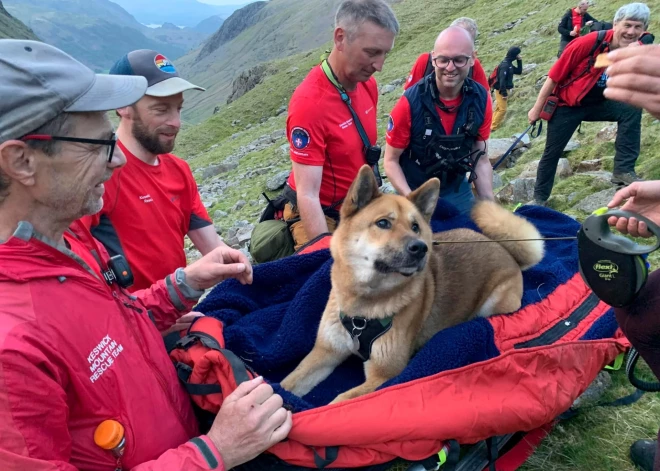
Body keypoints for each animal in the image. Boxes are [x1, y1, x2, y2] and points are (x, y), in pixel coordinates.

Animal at [282, 167, 544, 406]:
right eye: (383, 223)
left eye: (415, 226)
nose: (420, 248)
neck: (363, 309)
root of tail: (505, 249)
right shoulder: (325, 352)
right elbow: (288, 382)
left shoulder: (383, 375)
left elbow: (339, 402)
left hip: (495, 304)